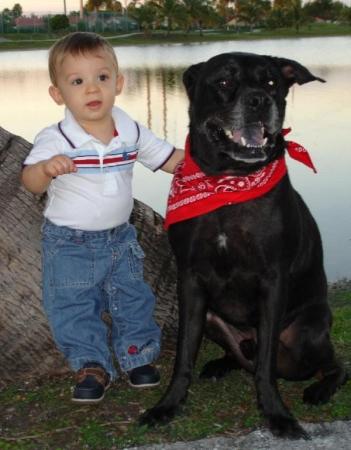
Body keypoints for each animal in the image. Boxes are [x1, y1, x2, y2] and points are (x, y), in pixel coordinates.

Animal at [141, 52, 350, 440]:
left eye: (271, 82)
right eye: (224, 82)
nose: (259, 101)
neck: (229, 183)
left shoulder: (273, 281)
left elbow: (265, 366)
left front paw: (277, 415)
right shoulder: (189, 281)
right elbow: (183, 355)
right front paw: (168, 405)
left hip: (309, 331)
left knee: (334, 364)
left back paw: (320, 388)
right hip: (213, 318)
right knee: (240, 358)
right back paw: (222, 364)